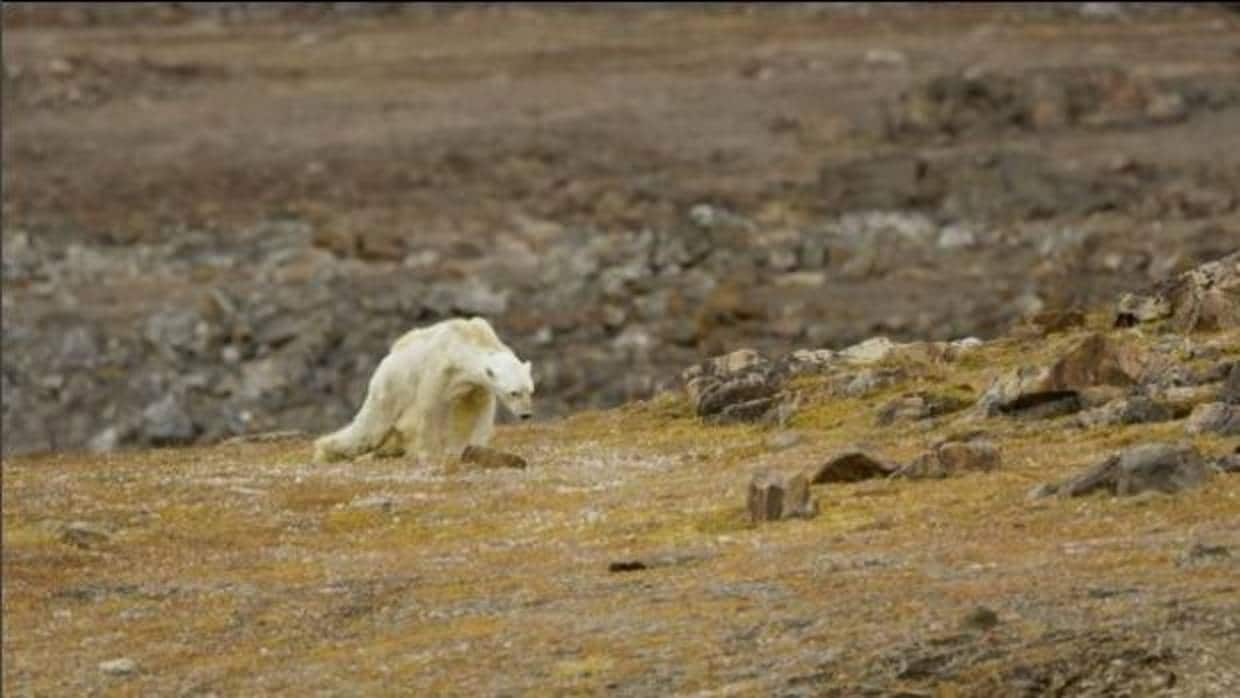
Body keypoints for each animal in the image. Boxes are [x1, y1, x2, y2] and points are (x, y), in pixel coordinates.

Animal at [314, 317, 533, 463]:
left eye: (530, 391)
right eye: (514, 392)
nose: (526, 414)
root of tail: (388, 357)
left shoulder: (475, 387)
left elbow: (478, 414)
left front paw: (473, 448)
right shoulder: (438, 372)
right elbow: (429, 409)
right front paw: (428, 453)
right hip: (391, 385)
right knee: (371, 426)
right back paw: (326, 450)